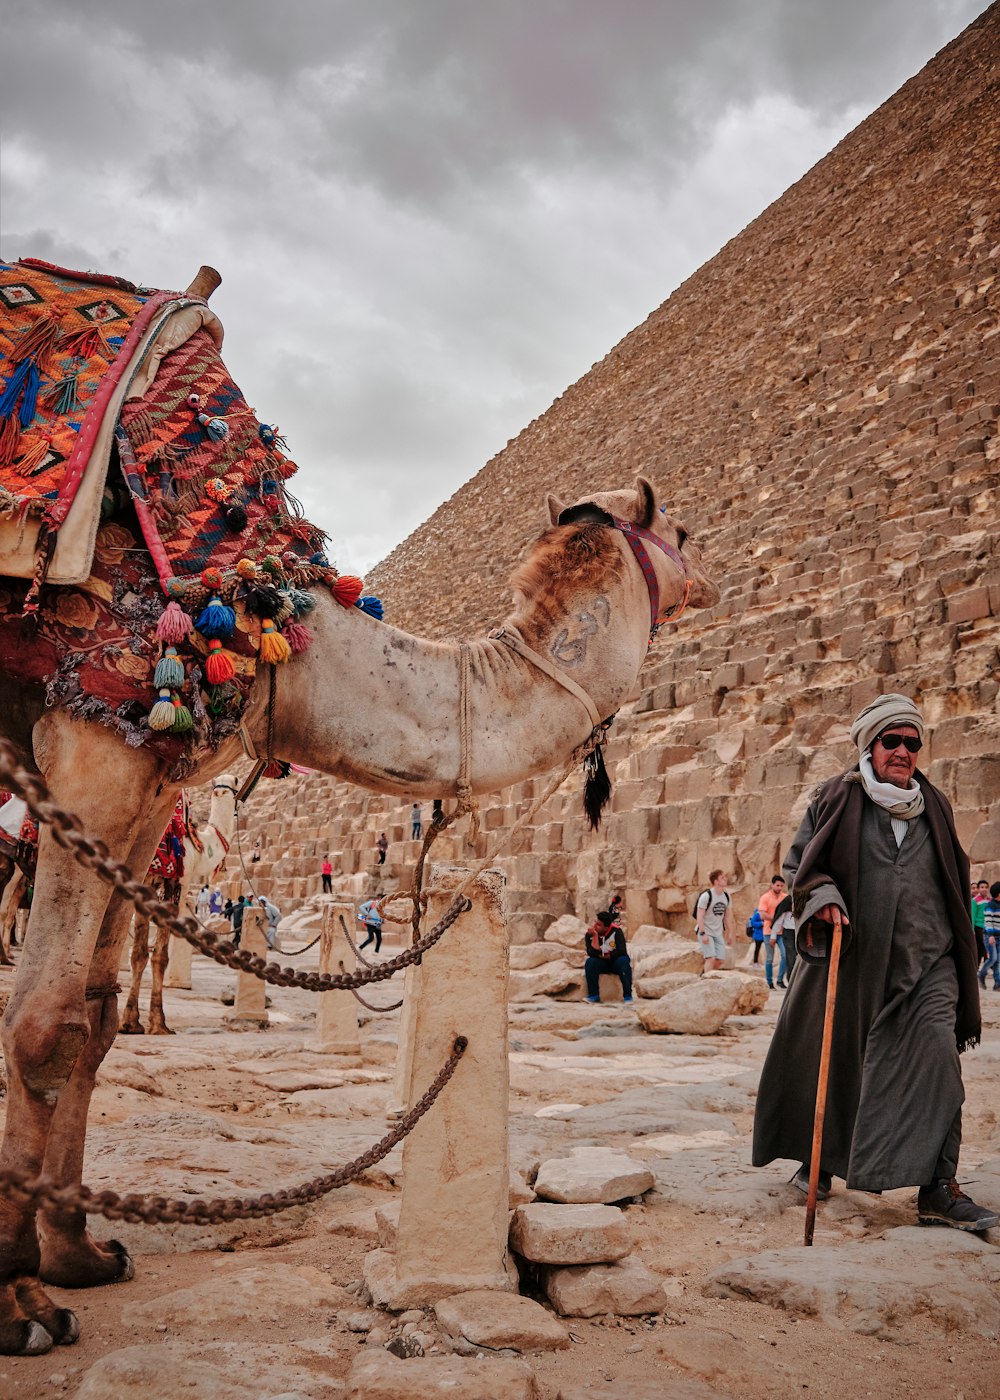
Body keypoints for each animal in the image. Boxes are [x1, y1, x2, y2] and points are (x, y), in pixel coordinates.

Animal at [119, 778, 236, 1041]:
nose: (222, 789)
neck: (202, 847)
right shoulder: (178, 881)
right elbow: (160, 955)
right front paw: (159, 1024)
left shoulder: (147, 887)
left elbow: (138, 954)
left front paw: (130, 1023)